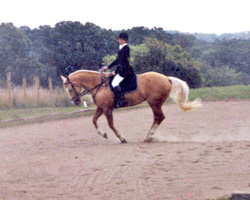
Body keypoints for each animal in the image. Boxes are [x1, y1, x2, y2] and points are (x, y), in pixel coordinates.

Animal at [61, 69, 202, 143]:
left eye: (70, 88)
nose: (76, 102)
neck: (99, 85)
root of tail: (166, 78)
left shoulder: (107, 108)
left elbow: (111, 124)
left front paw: (122, 138)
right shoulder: (101, 107)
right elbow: (94, 120)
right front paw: (103, 134)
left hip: (154, 103)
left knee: (159, 117)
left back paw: (149, 137)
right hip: (155, 104)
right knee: (158, 118)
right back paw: (148, 136)